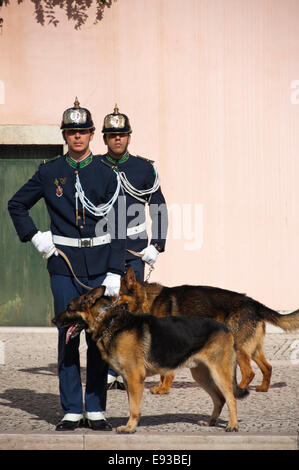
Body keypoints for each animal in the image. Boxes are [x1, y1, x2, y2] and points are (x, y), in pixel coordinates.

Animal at [53, 288, 248, 436]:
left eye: (69, 308)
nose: (53, 321)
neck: (108, 320)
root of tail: (225, 328)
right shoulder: (127, 380)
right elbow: (132, 405)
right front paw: (131, 425)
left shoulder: (134, 378)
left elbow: (134, 407)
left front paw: (130, 428)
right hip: (202, 376)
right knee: (219, 399)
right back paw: (210, 422)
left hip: (219, 374)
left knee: (231, 399)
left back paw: (232, 425)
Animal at [113, 266, 298, 394]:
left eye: (117, 295)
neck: (146, 299)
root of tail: (254, 303)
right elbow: (162, 373)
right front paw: (161, 387)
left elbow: (167, 373)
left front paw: (164, 389)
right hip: (252, 349)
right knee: (267, 367)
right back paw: (263, 388)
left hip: (238, 347)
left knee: (249, 373)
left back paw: (237, 389)